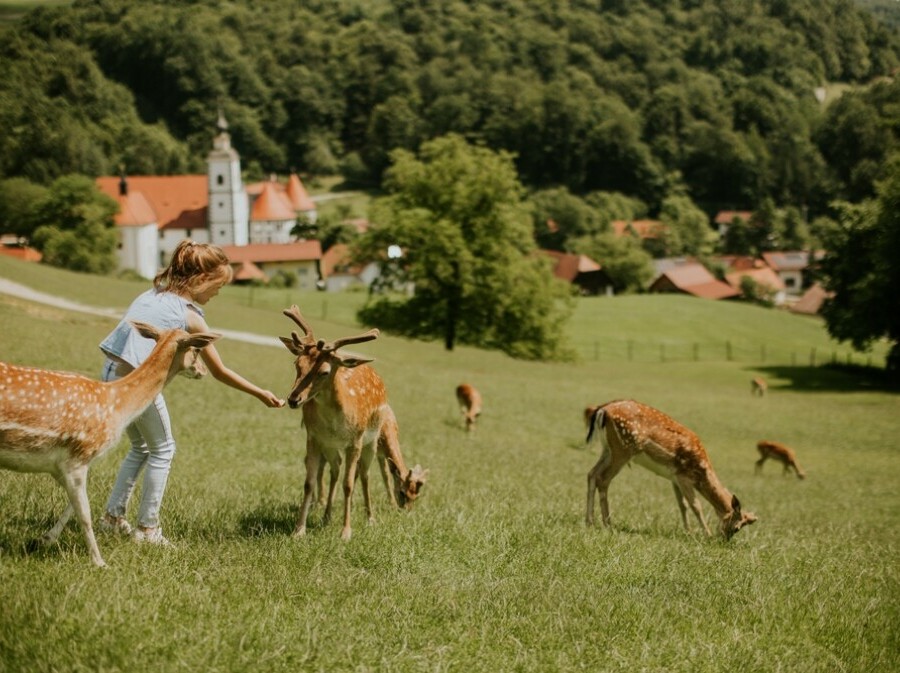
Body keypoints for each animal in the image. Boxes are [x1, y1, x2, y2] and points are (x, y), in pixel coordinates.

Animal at [0, 322, 218, 564]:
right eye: (197, 349)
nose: (203, 371)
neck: (116, 404)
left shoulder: (59, 465)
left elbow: (74, 505)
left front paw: (44, 539)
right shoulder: (78, 456)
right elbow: (85, 513)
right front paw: (99, 562)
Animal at [280, 304, 428, 540]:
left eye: (324, 371)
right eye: (297, 364)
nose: (294, 399)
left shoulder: (355, 442)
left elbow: (349, 484)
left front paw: (346, 532)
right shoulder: (314, 438)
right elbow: (308, 483)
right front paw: (299, 530)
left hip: (370, 443)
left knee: (365, 475)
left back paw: (370, 519)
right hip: (332, 447)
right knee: (335, 469)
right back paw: (326, 516)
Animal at [584, 402, 760, 540]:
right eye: (736, 528)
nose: (723, 540)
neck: (702, 471)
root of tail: (602, 410)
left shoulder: (674, 478)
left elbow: (682, 505)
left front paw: (688, 532)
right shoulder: (683, 476)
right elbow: (696, 505)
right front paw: (707, 534)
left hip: (608, 449)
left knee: (592, 473)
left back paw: (590, 522)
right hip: (624, 449)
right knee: (603, 479)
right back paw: (608, 524)